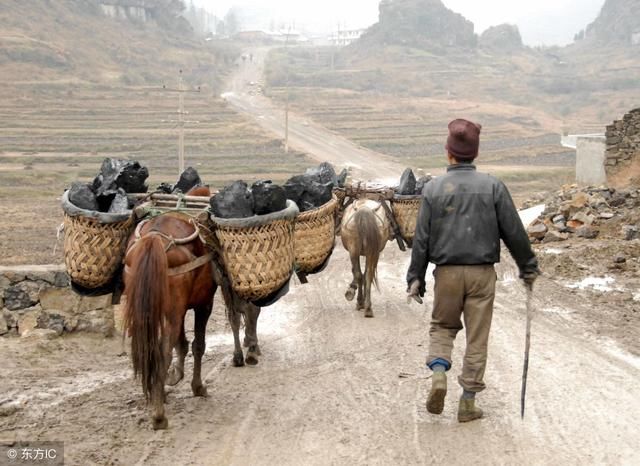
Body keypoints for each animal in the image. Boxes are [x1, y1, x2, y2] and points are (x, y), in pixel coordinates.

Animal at [122, 208, 262, 430]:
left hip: (144, 310)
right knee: (162, 352)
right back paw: (159, 416)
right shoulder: (203, 304)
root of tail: (154, 238)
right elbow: (199, 345)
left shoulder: (179, 310)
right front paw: (197, 386)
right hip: (174, 310)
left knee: (149, 349)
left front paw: (172, 378)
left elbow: (182, 344)